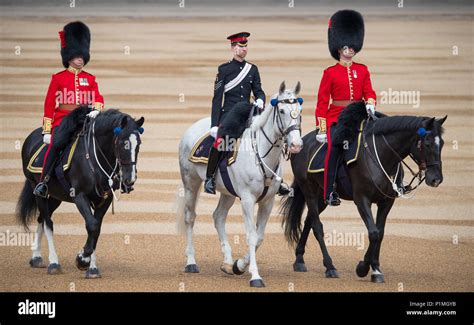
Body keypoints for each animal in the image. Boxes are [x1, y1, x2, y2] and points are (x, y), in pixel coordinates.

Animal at [16, 107, 144, 278]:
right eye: (123, 143)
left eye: (139, 144)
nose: (130, 179)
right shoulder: (80, 196)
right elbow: (92, 225)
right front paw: (82, 259)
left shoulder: (104, 199)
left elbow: (96, 229)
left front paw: (92, 267)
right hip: (38, 190)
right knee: (48, 222)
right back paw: (54, 262)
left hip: (56, 196)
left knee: (41, 218)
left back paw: (36, 257)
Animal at [178, 81, 304, 286]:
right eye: (282, 110)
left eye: (299, 111)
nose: (296, 145)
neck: (261, 153)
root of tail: (193, 127)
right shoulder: (247, 199)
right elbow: (251, 236)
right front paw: (255, 276)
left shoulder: (267, 202)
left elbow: (259, 237)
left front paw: (239, 266)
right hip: (191, 183)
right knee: (190, 217)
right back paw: (191, 262)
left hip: (228, 193)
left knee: (218, 216)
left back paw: (228, 262)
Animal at [280, 104, 446, 280]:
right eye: (427, 143)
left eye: (441, 143)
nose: (436, 179)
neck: (382, 156)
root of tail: (302, 142)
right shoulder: (361, 199)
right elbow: (373, 233)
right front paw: (363, 267)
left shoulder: (387, 201)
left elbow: (380, 233)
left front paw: (376, 268)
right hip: (309, 190)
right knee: (317, 226)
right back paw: (330, 266)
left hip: (322, 195)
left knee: (309, 221)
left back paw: (299, 259)